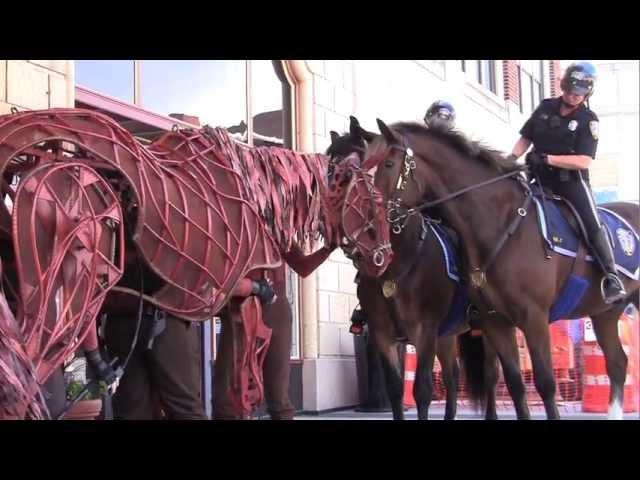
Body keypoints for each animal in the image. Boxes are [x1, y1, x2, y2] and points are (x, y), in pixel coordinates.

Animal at [328, 120, 482, 420]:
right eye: (328, 165)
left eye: (353, 167)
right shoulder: (382, 333)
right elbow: (395, 389)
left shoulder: (425, 330)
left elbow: (422, 390)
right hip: (448, 334)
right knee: (453, 377)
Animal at [362, 119, 636, 420]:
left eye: (388, 164)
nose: (369, 223)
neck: (500, 224)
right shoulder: (495, 321)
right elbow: (515, 384)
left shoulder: (534, 317)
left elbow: (545, 383)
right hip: (605, 313)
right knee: (617, 363)